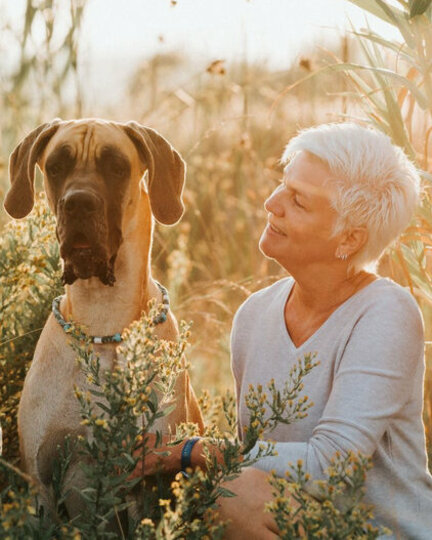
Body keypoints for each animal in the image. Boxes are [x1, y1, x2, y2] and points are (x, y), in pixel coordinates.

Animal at [3, 119, 204, 520]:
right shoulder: (42, 483)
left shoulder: (149, 476)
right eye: (55, 166)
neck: (103, 324)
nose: (78, 202)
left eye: (116, 166)